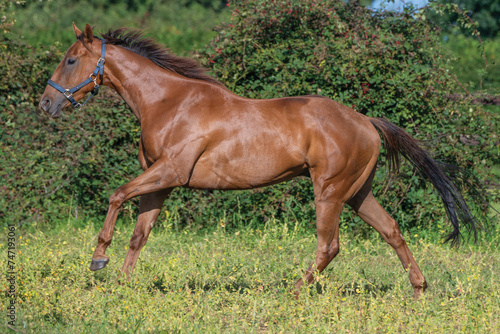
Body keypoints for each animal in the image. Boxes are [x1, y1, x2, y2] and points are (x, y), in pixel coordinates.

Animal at [40, 24, 476, 298]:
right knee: (391, 231)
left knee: (329, 245)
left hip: (330, 191)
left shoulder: (170, 172)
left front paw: (98, 260)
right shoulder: (161, 182)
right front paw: (122, 286)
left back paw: (293, 292)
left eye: (71, 60)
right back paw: (419, 291)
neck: (168, 102)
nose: (46, 104)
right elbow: (139, 235)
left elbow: (116, 196)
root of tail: (366, 121)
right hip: (357, 193)